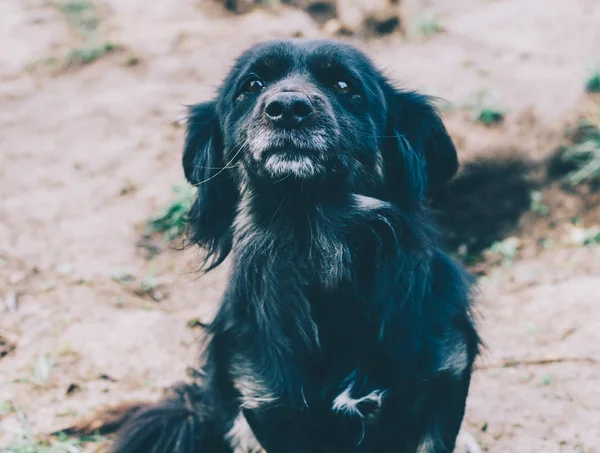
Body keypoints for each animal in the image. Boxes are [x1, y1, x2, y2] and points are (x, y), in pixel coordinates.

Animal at [110, 39, 480, 452]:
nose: (287, 108)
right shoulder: (267, 406)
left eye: (344, 85)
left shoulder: (444, 380)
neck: (315, 236)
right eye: (251, 85)